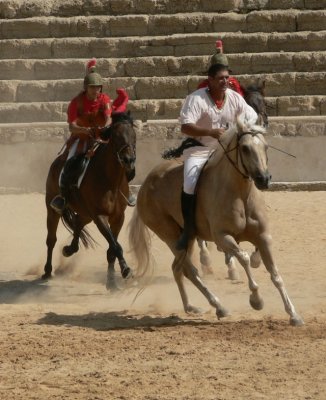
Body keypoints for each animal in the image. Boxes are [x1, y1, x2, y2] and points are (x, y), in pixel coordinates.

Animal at [43, 111, 136, 290]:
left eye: (134, 135)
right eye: (116, 137)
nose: (129, 160)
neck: (110, 180)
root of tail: (56, 163)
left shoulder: (118, 218)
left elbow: (112, 250)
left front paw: (111, 283)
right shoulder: (100, 217)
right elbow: (115, 246)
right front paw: (126, 270)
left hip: (86, 213)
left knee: (78, 222)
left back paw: (69, 249)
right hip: (52, 209)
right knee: (51, 239)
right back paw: (47, 271)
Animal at [129, 117, 304, 326]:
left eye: (266, 146)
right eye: (245, 148)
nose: (263, 179)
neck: (240, 195)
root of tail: (145, 186)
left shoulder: (263, 237)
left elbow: (275, 274)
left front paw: (293, 314)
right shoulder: (223, 237)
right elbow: (244, 258)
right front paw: (256, 300)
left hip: (187, 238)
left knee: (178, 269)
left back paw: (191, 307)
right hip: (171, 237)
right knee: (190, 271)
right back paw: (219, 306)